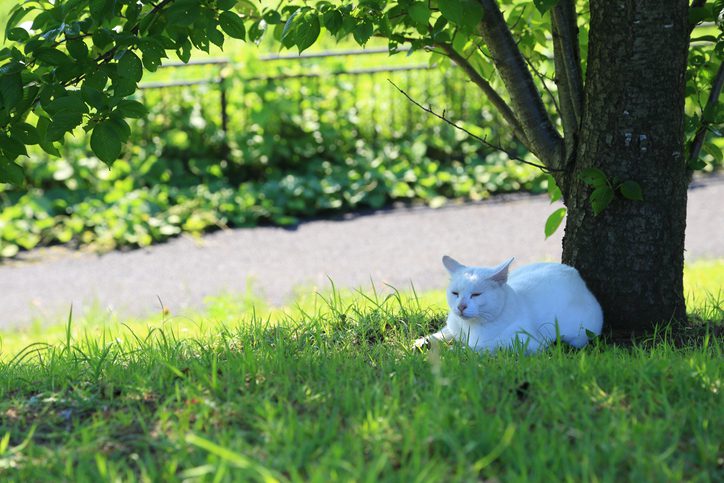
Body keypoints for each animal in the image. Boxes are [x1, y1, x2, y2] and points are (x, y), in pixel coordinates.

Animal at [416, 258, 604, 356]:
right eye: (455, 293)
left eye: (476, 294)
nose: (461, 306)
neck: (469, 327)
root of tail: (576, 277)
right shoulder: (453, 327)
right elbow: (441, 334)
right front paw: (423, 342)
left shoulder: (527, 342)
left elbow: (484, 346)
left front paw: (454, 351)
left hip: (578, 335)